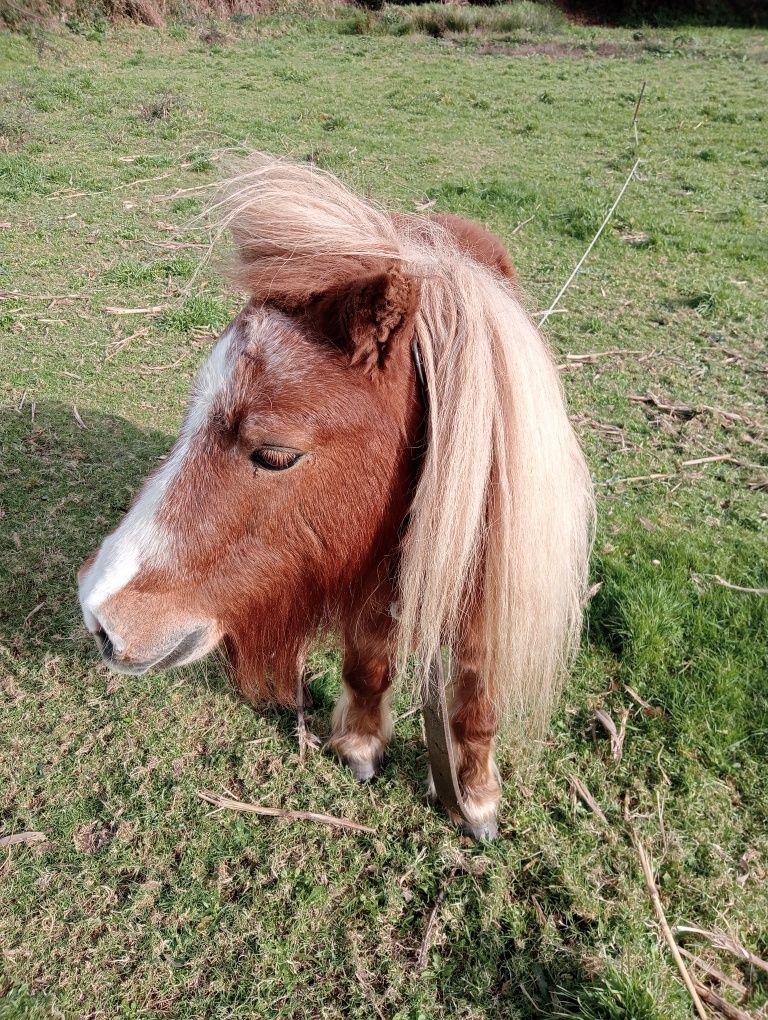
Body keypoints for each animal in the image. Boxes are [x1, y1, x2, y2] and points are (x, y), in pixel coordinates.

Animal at [78, 155, 591, 840]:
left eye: (275, 453)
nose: (98, 615)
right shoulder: (366, 570)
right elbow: (368, 659)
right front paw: (360, 746)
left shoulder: (490, 593)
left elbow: (476, 688)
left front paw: (477, 795)